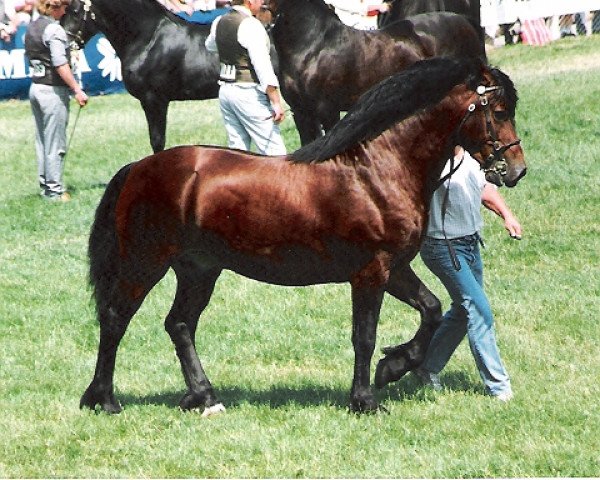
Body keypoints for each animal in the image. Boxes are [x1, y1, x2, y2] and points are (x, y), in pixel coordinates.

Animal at [81, 57, 524, 416]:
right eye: (500, 110)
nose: (516, 170)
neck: (375, 171)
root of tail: (139, 167)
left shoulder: (394, 268)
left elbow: (430, 309)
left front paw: (393, 367)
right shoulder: (371, 272)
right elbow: (364, 336)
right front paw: (365, 399)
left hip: (198, 270)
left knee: (179, 325)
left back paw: (203, 397)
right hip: (146, 262)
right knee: (116, 318)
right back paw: (103, 399)